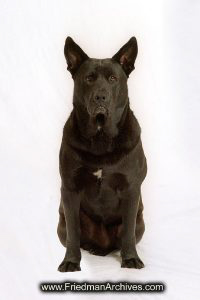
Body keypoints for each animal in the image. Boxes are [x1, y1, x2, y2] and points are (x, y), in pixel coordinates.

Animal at [56, 37, 147, 272]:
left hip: (141, 221)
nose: (100, 97)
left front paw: (130, 259)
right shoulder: (70, 188)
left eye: (113, 78)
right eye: (89, 78)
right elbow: (74, 233)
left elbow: (127, 233)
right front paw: (71, 261)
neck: (100, 138)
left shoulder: (131, 189)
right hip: (61, 222)